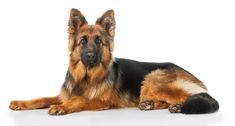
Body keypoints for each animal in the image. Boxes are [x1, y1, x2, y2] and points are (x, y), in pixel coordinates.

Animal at [8, 8, 218, 115]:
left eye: (98, 42)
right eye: (82, 41)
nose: (90, 56)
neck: (86, 76)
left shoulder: (101, 101)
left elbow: (79, 98)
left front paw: (61, 107)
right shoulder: (64, 93)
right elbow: (42, 98)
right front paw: (21, 103)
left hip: (152, 77)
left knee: (188, 97)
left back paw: (177, 107)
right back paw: (149, 105)